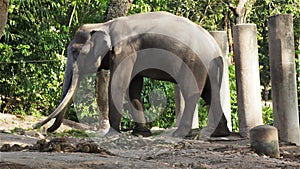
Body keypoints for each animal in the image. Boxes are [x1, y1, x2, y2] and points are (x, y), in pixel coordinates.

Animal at [34, 11, 230, 138]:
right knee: (210, 93)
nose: (44, 130)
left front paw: (112, 133)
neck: (104, 25)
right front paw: (140, 133)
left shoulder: (125, 50)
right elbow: (133, 87)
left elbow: (118, 84)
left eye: (75, 51)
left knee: (192, 93)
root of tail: (216, 48)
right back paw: (219, 133)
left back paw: (179, 134)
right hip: (209, 65)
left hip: (193, 61)